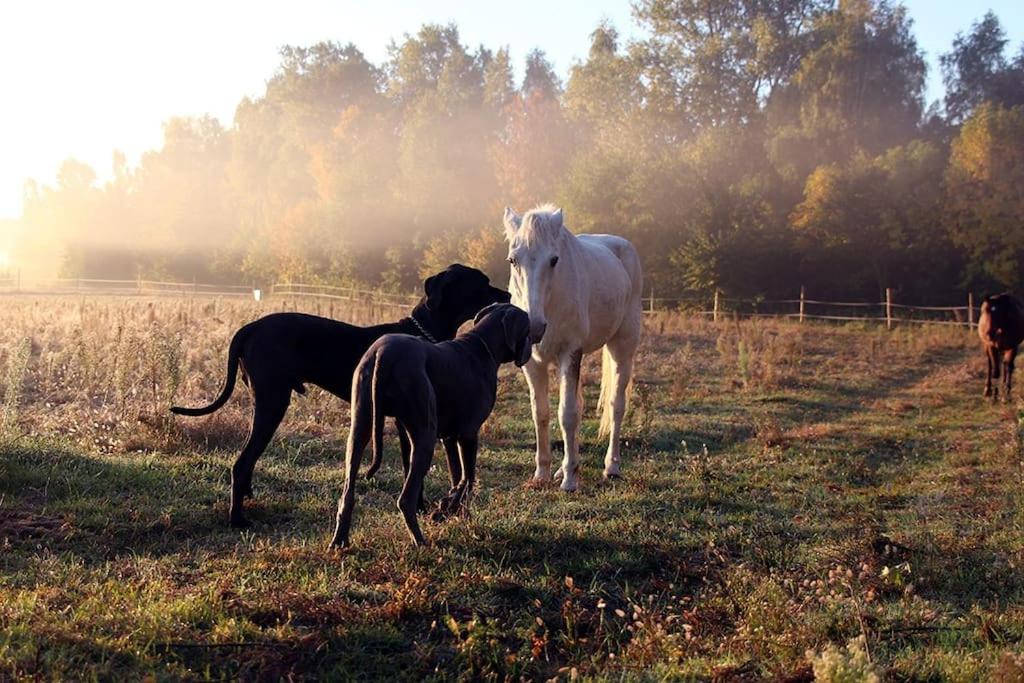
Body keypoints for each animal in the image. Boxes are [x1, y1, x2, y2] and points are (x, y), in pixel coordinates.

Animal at [167, 264, 512, 528]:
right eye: (481, 283)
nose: (508, 294)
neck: (423, 333)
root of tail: (251, 326)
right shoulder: (411, 422)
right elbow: (415, 468)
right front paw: (422, 505)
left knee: (247, 459)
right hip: (273, 402)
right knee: (240, 463)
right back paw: (238, 519)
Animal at [329, 305, 536, 548]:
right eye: (528, 328)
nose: (534, 344)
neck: (482, 346)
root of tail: (384, 354)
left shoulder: (450, 438)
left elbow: (457, 475)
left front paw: (456, 512)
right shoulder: (468, 434)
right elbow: (468, 477)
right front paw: (446, 510)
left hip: (360, 427)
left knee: (347, 493)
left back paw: (340, 540)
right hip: (425, 436)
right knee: (406, 499)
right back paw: (420, 542)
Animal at [501, 202, 638, 491]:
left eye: (554, 260)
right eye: (512, 260)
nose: (533, 327)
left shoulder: (570, 353)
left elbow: (567, 414)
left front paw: (570, 481)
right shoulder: (532, 363)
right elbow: (541, 413)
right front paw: (543, 473)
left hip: (622, 348)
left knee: (616, 405)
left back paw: (611, 467)